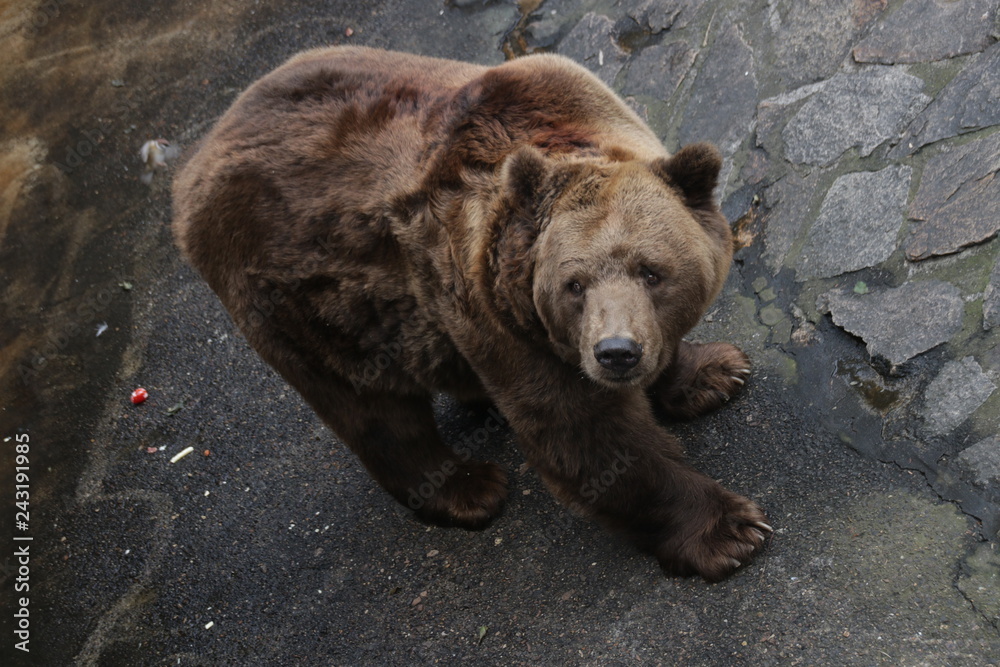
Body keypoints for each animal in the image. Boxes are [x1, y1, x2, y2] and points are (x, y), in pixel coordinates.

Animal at [172, 47, 768, 580]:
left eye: (651, 271)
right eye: (574, 285)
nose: (615, 353)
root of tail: (199, 157)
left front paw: (714, 372)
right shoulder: (494, 307)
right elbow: (586, 435)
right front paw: (730, 529)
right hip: (303, 298)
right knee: (370, 408)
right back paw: (469, 488)